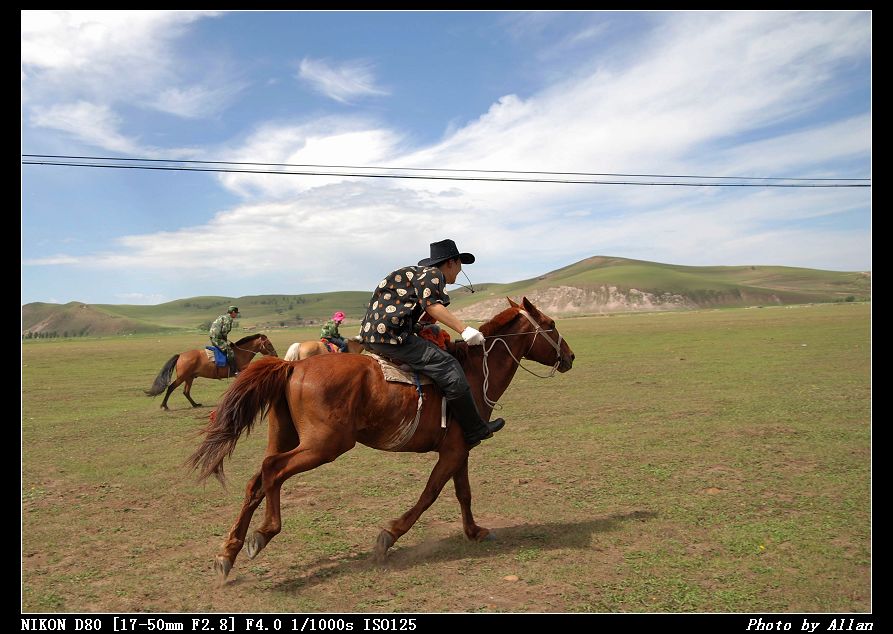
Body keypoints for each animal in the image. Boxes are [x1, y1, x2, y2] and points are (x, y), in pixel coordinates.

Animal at [145, 330, 278, 410]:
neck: (240, 353)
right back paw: (164, 406)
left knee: (186, 392)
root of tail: (181, 355)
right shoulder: (240, 373)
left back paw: (195, 404)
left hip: (189, 377)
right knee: (171, 388)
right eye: (269, 344)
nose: (275, 355)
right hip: (182, 377)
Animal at [189, 298, 576, 580]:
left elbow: (463, 493)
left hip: (285, 437)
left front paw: (474, 531)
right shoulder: (452, 451)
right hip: (323, 446)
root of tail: (293, 366)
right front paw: (388, 537)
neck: (471, 374)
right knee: (273, 471)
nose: (570, 356)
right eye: (552, 325)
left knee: (257, 480)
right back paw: (264, 533)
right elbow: (430, 494)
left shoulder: (460, 450)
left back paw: (228, 553)